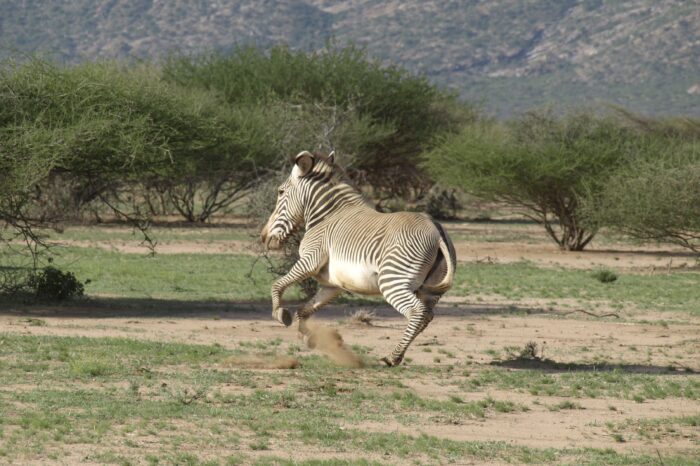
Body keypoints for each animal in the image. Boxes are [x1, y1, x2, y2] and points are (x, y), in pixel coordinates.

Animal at [260, 151, 456, 366]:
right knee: (427, 315)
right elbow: (305, 309)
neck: (327, 216)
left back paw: (392, 357)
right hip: (429, 290)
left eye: (280, 192)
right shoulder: (333, 284)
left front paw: (280, 314)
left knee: (417, 312)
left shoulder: (310, 260)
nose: (264, 237)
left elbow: (277, 285)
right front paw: (308, 337)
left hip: (392, 280)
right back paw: (396, 356)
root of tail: (436, 231)